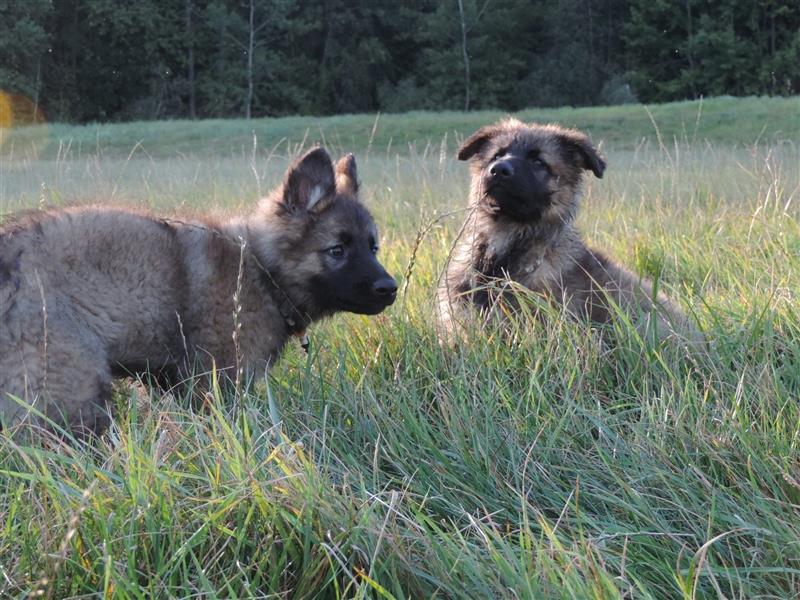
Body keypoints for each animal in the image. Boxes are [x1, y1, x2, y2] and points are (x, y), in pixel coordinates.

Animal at [0, 148, 396, 434]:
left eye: (373, 247)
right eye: (337, 250)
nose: (390, 289)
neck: (260, 270)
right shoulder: (216, 382)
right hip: (71, 386)